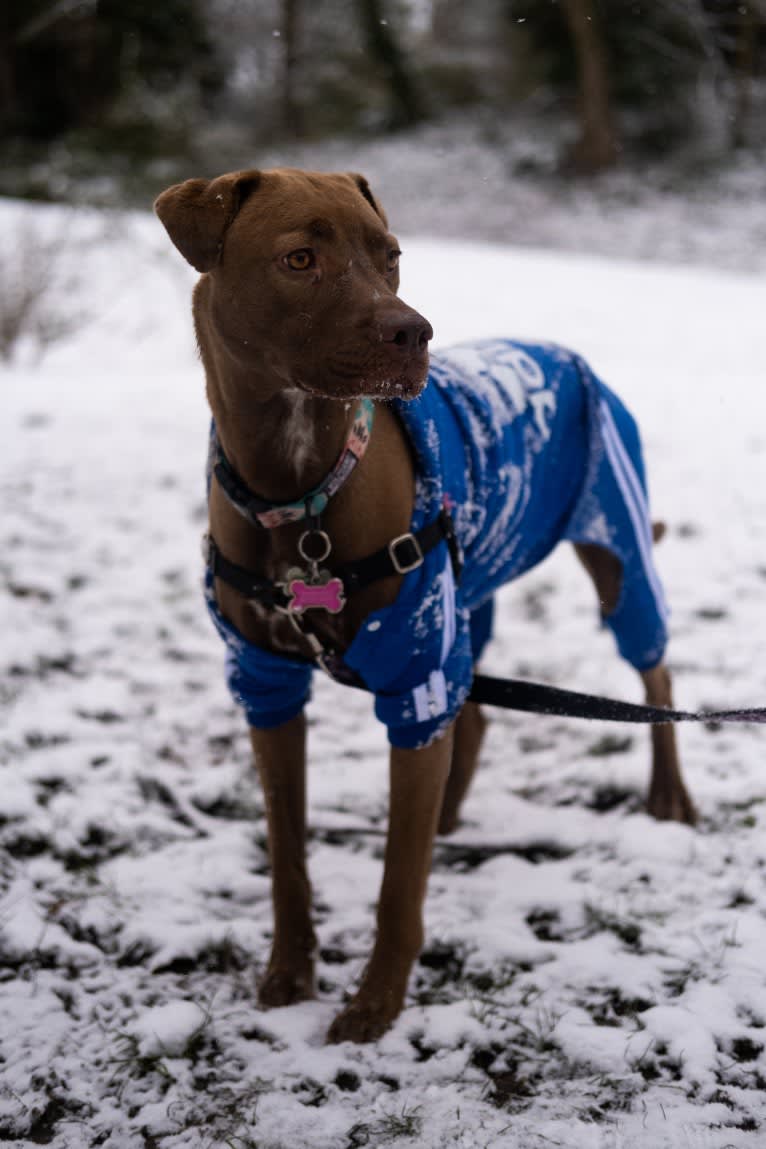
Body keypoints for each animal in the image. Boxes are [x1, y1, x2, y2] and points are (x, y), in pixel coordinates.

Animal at [153, 167, 693, 1043]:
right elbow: (288, 854)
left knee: (655, 673)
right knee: (470, 715)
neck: (299, 488)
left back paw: (667, 794)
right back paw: (447, 815)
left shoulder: (413, 671)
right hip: (467, 599)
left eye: (391, 255)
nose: (415, 332)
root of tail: (566, 352)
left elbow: (397, 883)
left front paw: (376, 1002)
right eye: (299, 258)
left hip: (615, 547)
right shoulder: (265, 684)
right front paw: (289, 972)